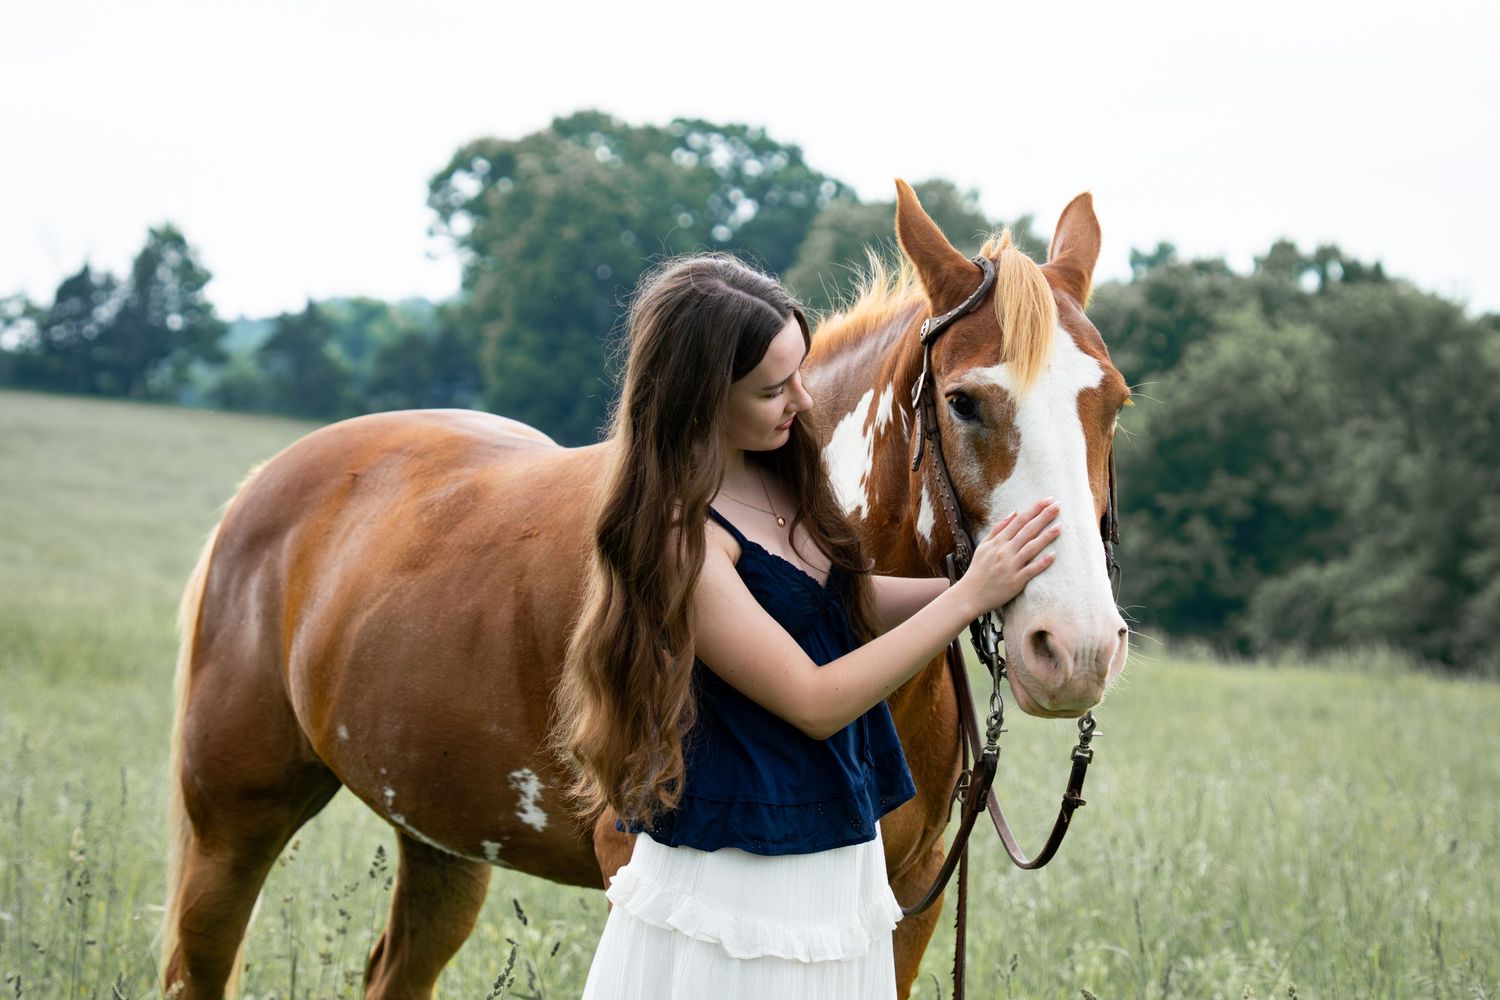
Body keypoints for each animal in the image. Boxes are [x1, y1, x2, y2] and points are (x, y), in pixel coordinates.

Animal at [160, 179, 1130, 999]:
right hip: (231, 827)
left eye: (1113, 403)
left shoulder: (906, 904)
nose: (1077, 648)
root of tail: (269, 484)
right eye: (964, 402)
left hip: (440, 841)